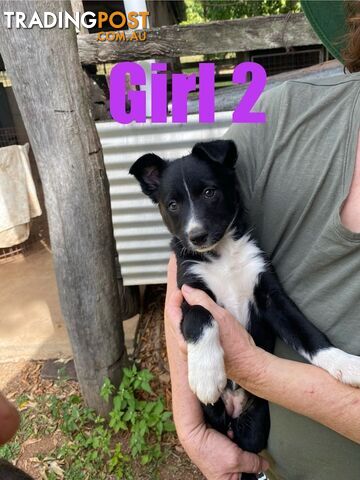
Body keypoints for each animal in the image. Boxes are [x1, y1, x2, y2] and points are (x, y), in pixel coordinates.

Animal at [131, 140, 360, 472]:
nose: (196, 236)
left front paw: (346, 364)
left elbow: (308, 333)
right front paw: (206, 373)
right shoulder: (189, 292)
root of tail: (232, 411)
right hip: (213, 418)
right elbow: (201, 316)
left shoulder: (270, 297)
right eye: (172, 205)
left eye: (210, 192)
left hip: (255, 426)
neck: (222, 254)